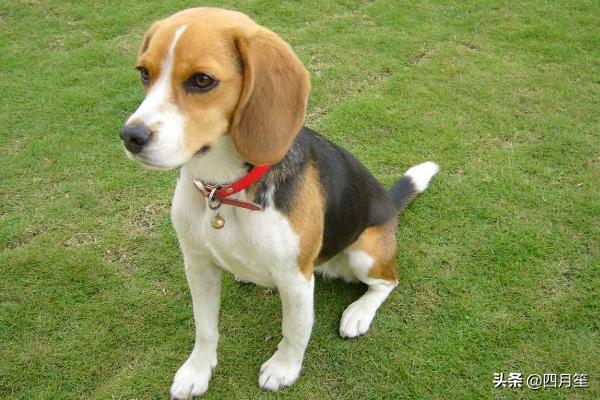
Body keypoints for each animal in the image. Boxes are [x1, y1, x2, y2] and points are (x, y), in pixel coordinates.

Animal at [119, 7, 439, 398]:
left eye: (202, 80)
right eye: (144, 73)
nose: (130, 136)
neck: (224, 190)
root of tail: (390, 207)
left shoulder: (295, 278)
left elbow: (294, 331)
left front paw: (283, 368)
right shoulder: (197, 264)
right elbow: (204, 327)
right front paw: (197, 371)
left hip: (365, 252)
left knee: (387, 282)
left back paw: (359, 312)